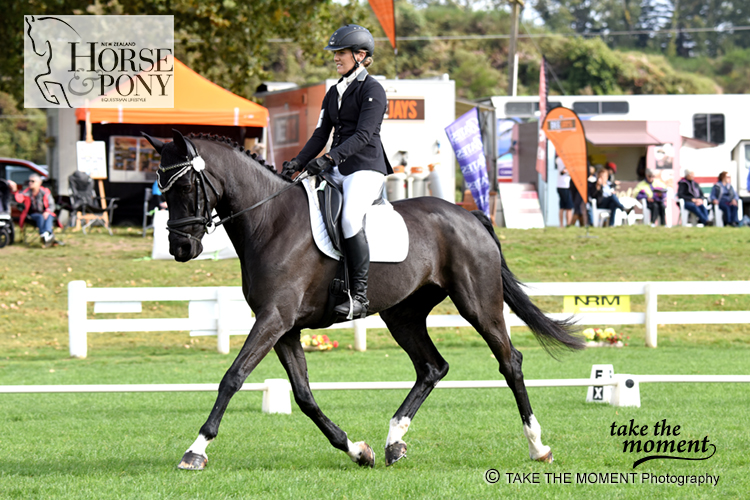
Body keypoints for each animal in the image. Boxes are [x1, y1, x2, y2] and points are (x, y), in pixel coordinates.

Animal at [144, 129, 584, 468]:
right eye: (162, 187)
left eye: (185, 185)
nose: (180, 248)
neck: (270, 222)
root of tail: (468, 215)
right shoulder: (284, 328)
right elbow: (304, 396)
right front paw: (357, 450)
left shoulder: (274, 318)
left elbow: (232, 377)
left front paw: (195, 450)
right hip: (402, 315)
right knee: (432, 367)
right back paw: (394, 441)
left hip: (478, 303)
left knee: (510, 362)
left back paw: (538, 446)